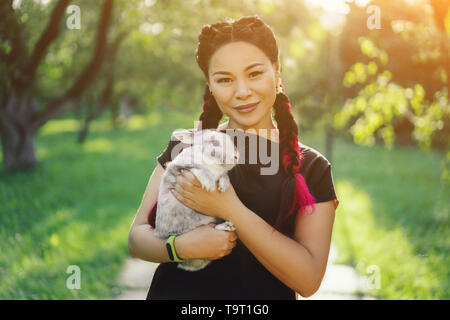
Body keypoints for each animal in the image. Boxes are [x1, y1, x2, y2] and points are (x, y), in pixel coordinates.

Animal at [154, 127, 241, 270]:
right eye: (214, 142)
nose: (236, 157)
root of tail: (185, 265)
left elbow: (224, 175)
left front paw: (223, 185)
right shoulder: (182, 167)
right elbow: (199, 169)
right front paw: (209, 184)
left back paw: (227, 226)